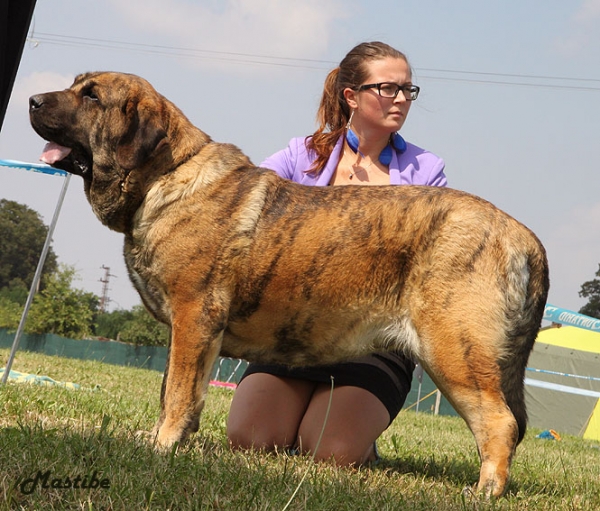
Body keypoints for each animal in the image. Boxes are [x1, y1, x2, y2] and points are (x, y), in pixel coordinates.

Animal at [31, 71, 548, 496]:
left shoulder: (194, 316)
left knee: (499, 422)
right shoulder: (187, 332)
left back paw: (486, 490)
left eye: (91, 95)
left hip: (455, 351)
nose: (33, 99)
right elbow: (173, 391)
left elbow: (177, 392)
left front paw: (162, 446)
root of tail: (523, 235)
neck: (166, 176)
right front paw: (162, 439)